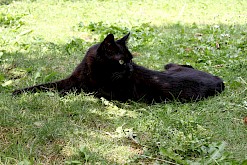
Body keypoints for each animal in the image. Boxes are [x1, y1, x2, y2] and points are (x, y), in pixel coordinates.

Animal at [12, 32, 224, 102]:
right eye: (122, 61)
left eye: (131, 60)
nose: (130, 68)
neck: (92, 71)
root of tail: (219, 80)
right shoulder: (70, 80)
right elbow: (44, 85)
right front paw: (18, 92)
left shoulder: (107, 92)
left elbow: (79, 90)